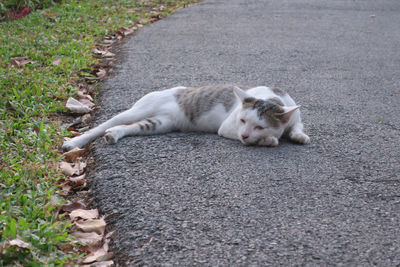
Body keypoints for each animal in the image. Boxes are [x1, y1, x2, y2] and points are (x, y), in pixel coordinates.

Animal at [62, 85, 310, 152]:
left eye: (260, 125)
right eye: (242, 121)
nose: (246, 135)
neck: (273, 97)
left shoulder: (294, 114)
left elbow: (297, 126)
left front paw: (299, 136)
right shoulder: (226, 128)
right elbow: (268, 140)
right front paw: (269, 140)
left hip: (159, 124)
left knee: (126, 127)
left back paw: (113, 135)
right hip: (139, 110)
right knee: (105, 124)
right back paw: (74, 142)